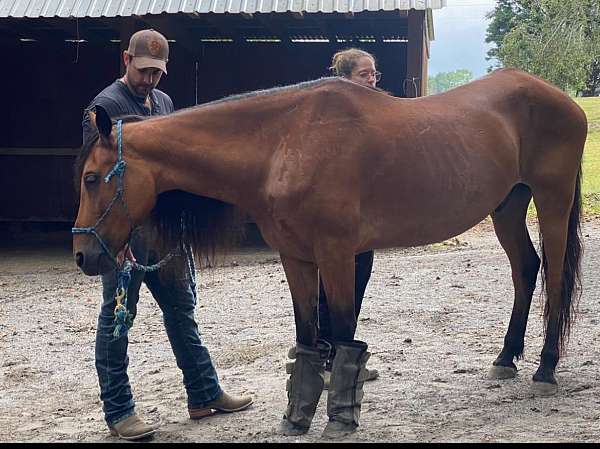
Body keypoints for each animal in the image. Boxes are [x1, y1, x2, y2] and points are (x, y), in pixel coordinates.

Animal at [74, 68, 584, 440]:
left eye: (92, 178)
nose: (83, 255)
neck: (284, 143)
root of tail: (561, 99)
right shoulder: (297, 258)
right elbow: (307, 334)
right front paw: (296, 418)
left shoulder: (337, 256)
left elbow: (341, 333)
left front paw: (340, 418)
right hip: (508, 206)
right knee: (526, 270)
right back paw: (506, 358)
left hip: (551, 201)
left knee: (555, 276)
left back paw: (545, 368)